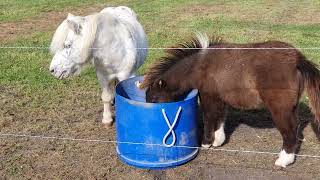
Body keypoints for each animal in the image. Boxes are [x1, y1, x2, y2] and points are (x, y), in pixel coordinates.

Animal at [141, 33, 320, 167]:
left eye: (154, 97)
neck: (200, 66)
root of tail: (297, 59)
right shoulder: (220, 98)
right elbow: (220, 118)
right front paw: (218, 141)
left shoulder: (208, 95)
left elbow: (208, 117)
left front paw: (206, 143)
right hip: (291, 107)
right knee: (295, 129)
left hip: (280, 109)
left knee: (289, 132)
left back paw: (283, 160)